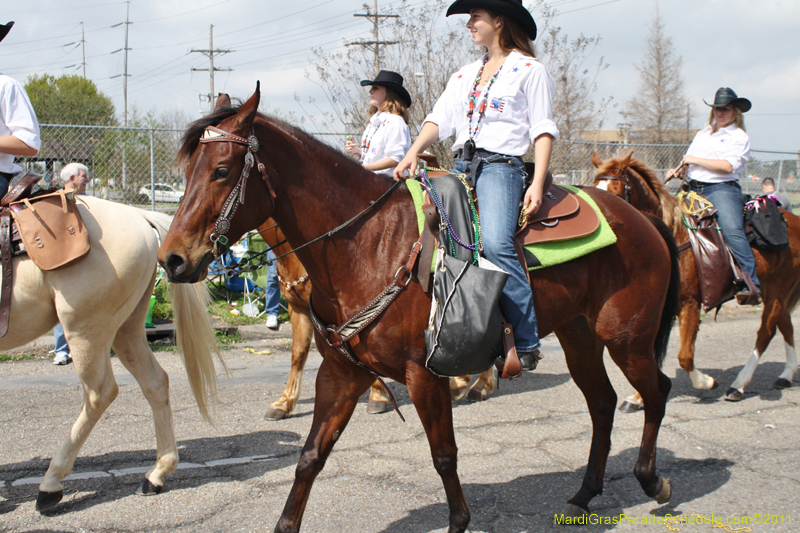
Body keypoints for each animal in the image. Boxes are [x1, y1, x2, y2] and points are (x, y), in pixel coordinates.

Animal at [0, 196, 222, 512]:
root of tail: (138, 216)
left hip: (85, 329)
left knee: (100, 393)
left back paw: (50, 484)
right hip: (126, 327)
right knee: (155, 382)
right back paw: (156, 474)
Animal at [159, 87, 680, 528]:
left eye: (221, 170)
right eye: (185, 172)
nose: (172, 258)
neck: (370, 245)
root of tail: (643, 219)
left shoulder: (424, 374)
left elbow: (444, 455)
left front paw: (459, 520)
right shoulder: (341, 373)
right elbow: (309, 457)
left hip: (627, 339)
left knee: (656, 391)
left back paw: (652, 481)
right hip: (580, 337)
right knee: (603, 403)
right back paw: (585, 493)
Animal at [592, 152, 800, 406]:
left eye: (614, 193)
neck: (672, 236)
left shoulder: (689, 303)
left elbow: (684, 355)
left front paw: (706, 382)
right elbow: (651, 353)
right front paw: (639, 397)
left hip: (776, 290)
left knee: (766, 332)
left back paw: (739, 385)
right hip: (779, 291)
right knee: (786, 325)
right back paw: (786, 375)